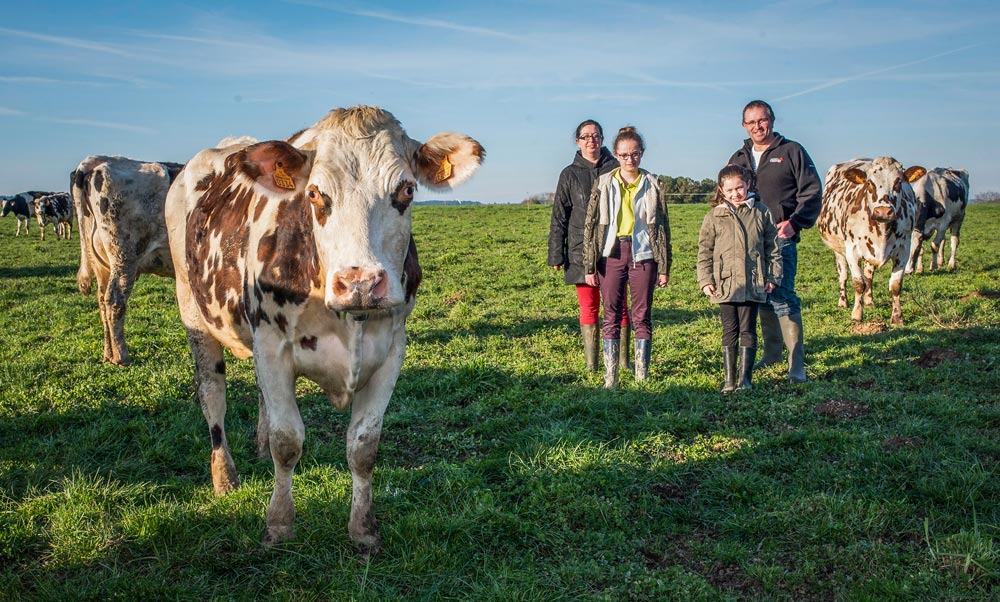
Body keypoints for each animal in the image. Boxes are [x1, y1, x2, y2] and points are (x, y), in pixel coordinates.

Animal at [73, 155, 188, 364]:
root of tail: (99, 161)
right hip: (124, 257)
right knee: (114, 301)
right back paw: (121, 357)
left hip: (102, 264)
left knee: (102, 302)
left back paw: (108, 354)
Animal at [165, 105, 484, 552]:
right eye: (315, 194)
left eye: (406, 190)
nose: (361, 283)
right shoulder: (272, 347)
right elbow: (287, 441)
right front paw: (279, 525)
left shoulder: (392, 352)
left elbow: (363, 447)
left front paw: (363, 530)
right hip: (193, 312)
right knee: (213, 396)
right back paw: (224, 476)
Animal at [816, 155, 924, 324]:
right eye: (869, 183)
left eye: (898, 182)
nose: (883, 211)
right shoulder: (852, 250)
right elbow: (858, 283)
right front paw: (856, 314)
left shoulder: (903, 250)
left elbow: (895, 285)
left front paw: (897, 317)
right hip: (838, 250)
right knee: (843, 275)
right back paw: (843, 301)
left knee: (869, 275)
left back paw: (869, 300)